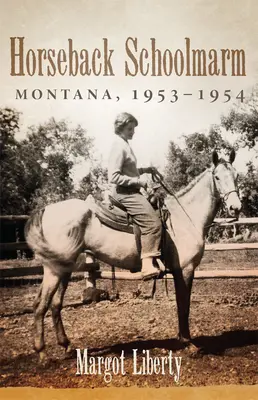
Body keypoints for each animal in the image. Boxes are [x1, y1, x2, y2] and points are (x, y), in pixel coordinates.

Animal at [24, 148, 242, 360]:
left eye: (236, 175)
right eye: (217, 177)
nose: (235, 207)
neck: (184, 217)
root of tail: (45, 210)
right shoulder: (185, 270)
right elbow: (183, 306)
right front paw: (188, 343)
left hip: (63, 268)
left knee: (54, 304)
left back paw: (66, 346)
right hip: (54, 270)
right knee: (41, 305)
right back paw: (42, 353)